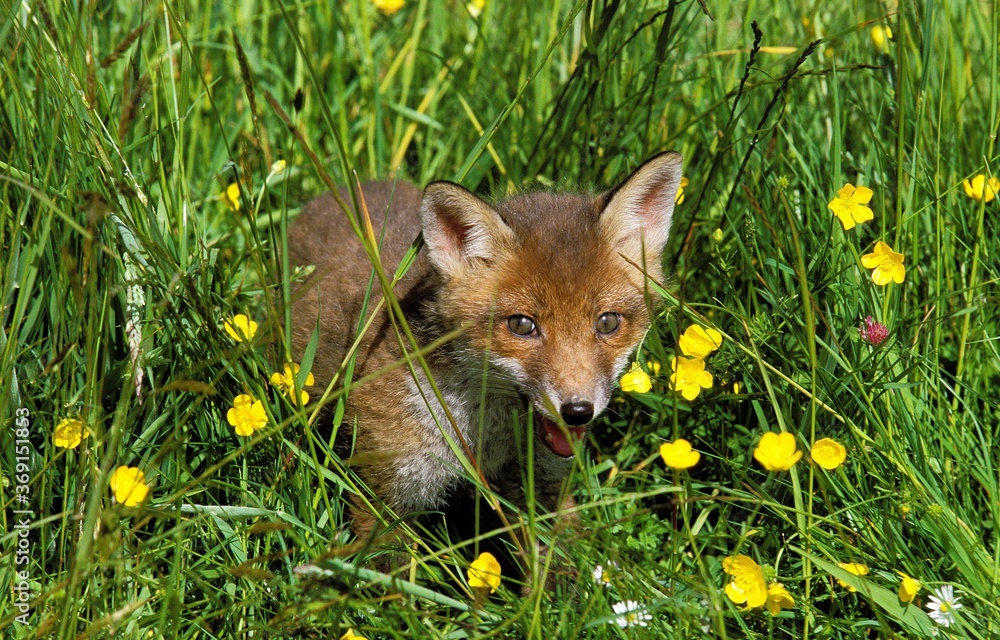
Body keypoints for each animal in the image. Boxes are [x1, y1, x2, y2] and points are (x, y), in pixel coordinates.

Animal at [288, 152, 683, 564]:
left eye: (607, 322)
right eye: (522, 325)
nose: (577, 411)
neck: (484, 437)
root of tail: (354, 185)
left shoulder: (539, 488)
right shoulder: (386, 497)